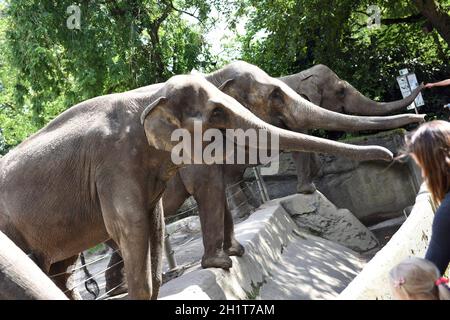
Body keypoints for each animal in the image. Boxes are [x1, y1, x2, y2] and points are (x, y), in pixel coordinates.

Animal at [0, 74, 394, 298]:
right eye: (218, 113)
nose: (390, 156)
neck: (147, 96)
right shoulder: (114, 166)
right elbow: (135, 224)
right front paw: (222, 261)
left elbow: (155, 225)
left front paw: (231, 255)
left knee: (60, 269)